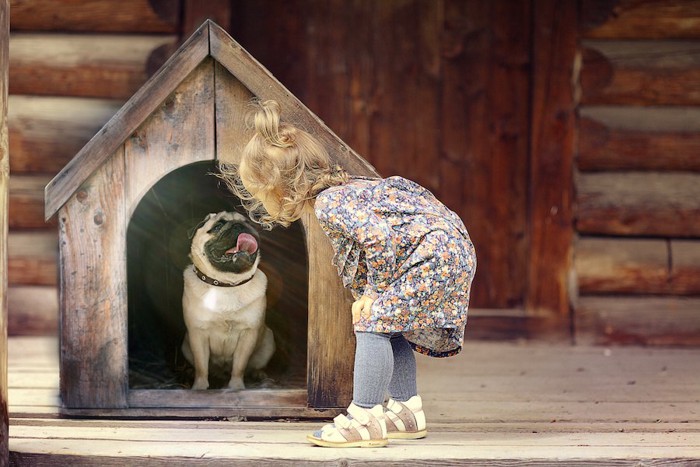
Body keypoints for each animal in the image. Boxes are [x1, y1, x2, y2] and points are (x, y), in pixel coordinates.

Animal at [182, 212, 274, 392]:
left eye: (248, 224)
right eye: (218, 226)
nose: (239, 226)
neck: (226, 284)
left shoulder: (247, 334)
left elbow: (239, 366)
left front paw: (236, 387)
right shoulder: (198, 334)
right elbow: (201, 366)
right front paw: (200, 387)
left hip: (268, 341)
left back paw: (259, 374)